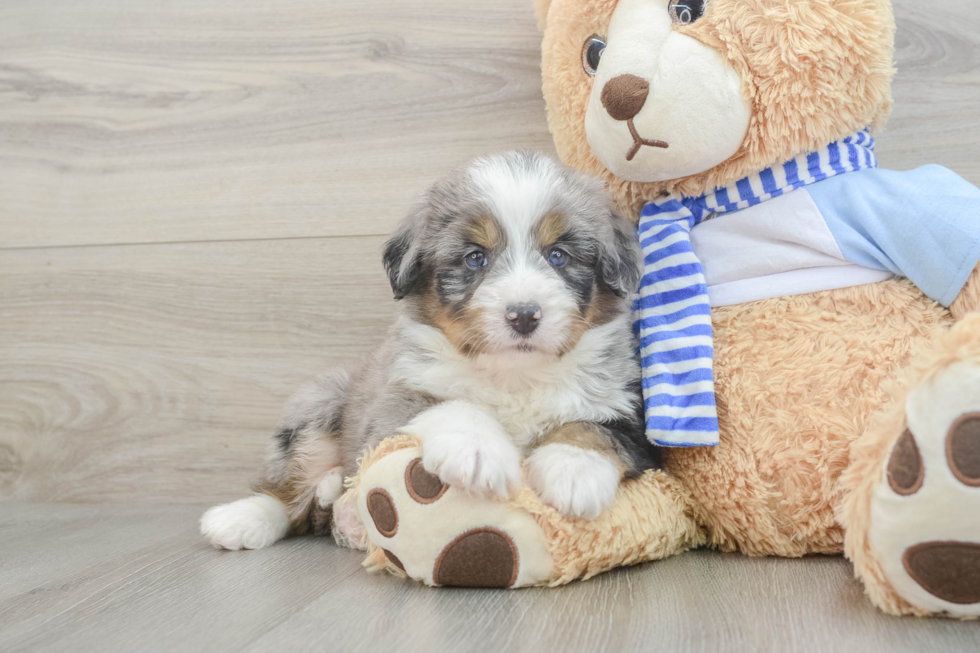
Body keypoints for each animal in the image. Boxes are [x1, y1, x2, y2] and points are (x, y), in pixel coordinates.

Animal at [199, 153, 660, 552]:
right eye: (475, 257)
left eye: (558, 255)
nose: (524, 315)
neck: (514, 376)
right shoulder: (392, 404)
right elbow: (450, 404)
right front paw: (480, 452)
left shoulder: (628, 410)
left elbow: (593, 428)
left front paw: (573, 470)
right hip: (317, 407)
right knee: (288, 490)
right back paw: (244, 519)